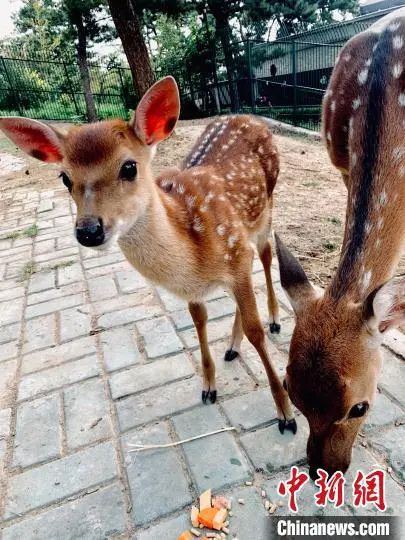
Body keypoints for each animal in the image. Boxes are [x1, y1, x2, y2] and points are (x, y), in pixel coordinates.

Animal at [0, 77, 296, 434]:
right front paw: (208, 387)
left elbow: (256, 331)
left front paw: (285, 414)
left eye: (129, 167)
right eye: (65, 177)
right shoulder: (198, 285)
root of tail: (249, 117)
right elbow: (199, 321)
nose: (88, 230)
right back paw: (231, 347)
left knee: (266, 254)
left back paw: (275, 320)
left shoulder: (235, 250)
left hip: (266, 208)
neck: (195, 255)